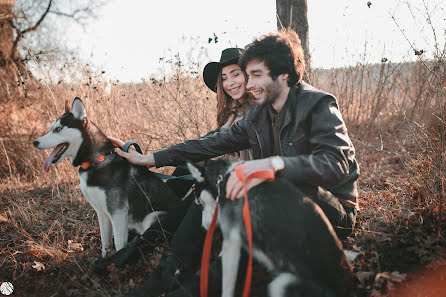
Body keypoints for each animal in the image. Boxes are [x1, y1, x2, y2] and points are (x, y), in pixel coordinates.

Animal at [34, 98, 178, 256]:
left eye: (58, 129)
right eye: (51, 128)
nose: (35, 142)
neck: (95, 161)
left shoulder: (118, 214)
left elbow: (119, 244)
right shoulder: (102, 212)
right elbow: (105, 242)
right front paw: (104, 257)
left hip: (153, 217)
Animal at [186, 160, 354, 296]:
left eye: (199, 203)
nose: (204, 227)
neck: (224, 177)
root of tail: (348, 287)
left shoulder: (232, 243)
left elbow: (227, 285)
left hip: (281, 284)